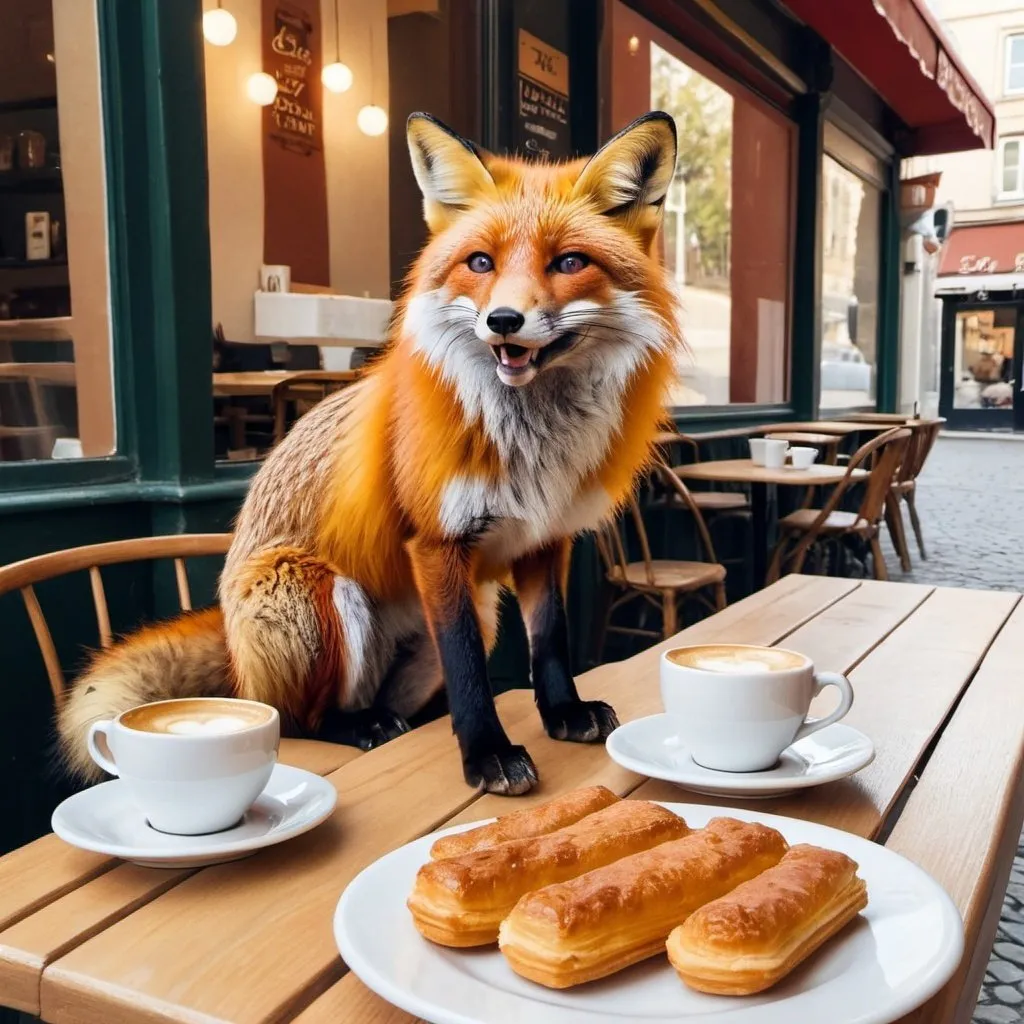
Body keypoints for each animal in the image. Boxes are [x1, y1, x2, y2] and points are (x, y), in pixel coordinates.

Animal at [54, 112, 679, 798]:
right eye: (479, 262)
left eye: (569, 262)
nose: (503, 321)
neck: (535, 445)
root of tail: (234, 652)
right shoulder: (436, 543)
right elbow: (468, 670)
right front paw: (487, 753)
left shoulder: (544, 539)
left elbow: (551, 641)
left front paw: (563, 711)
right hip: (318, 594)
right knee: (299, 717)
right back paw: (356, 727)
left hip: (474, 610)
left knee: (391, 701)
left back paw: (398, 718)